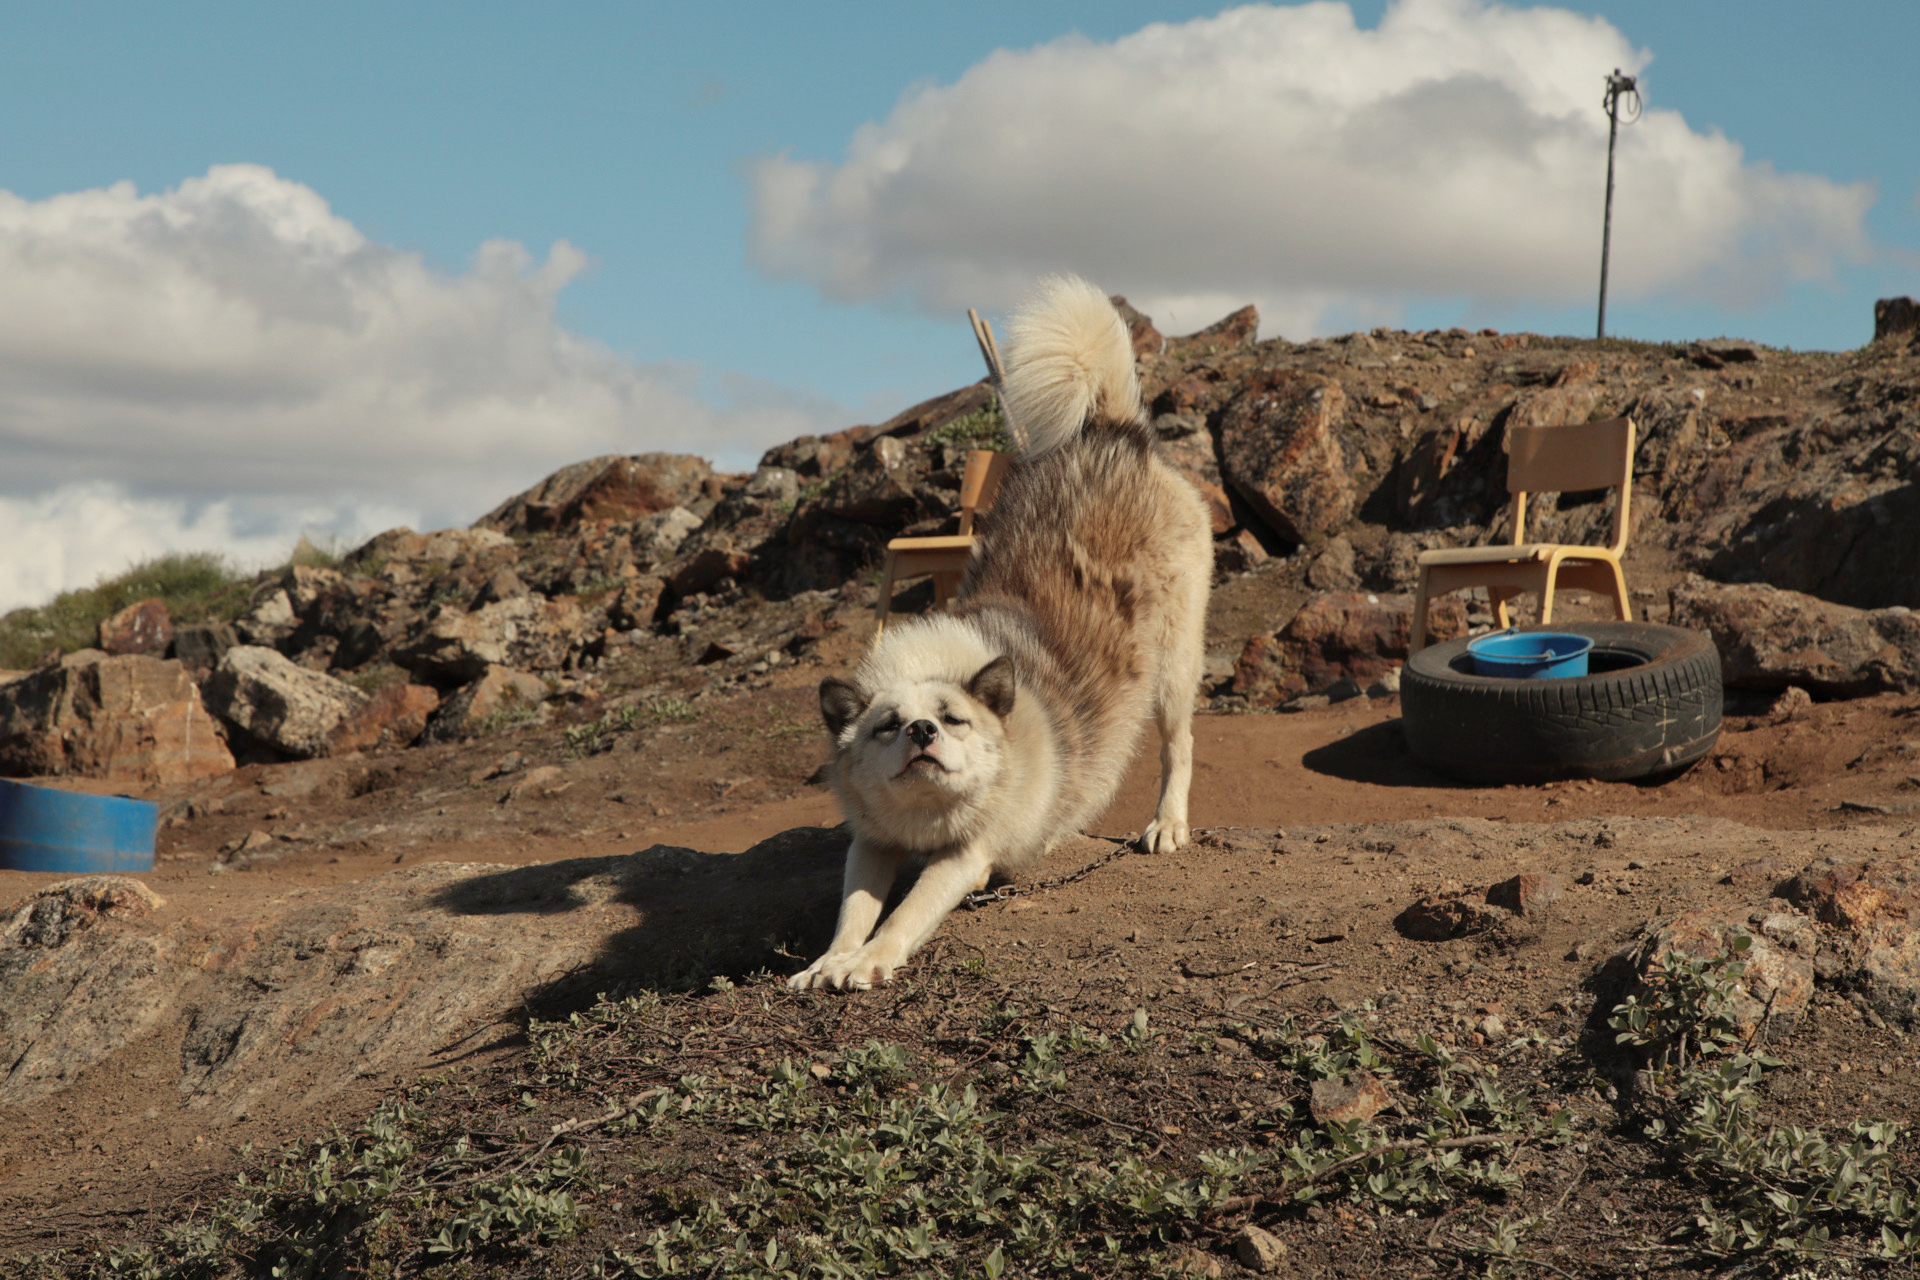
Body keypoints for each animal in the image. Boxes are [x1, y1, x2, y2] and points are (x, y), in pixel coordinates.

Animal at [783, 276, 1205, 997]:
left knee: (1178, 746)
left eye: (952, 719)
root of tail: (1112, 434)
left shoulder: (964, 857)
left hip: (1175, 667)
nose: (922, 732)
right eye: (887, 727)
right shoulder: (870, 845)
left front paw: (869, 959)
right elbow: (853, 910)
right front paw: (831, 959)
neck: (928, 821)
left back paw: (1167, 824)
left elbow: (906, 913)